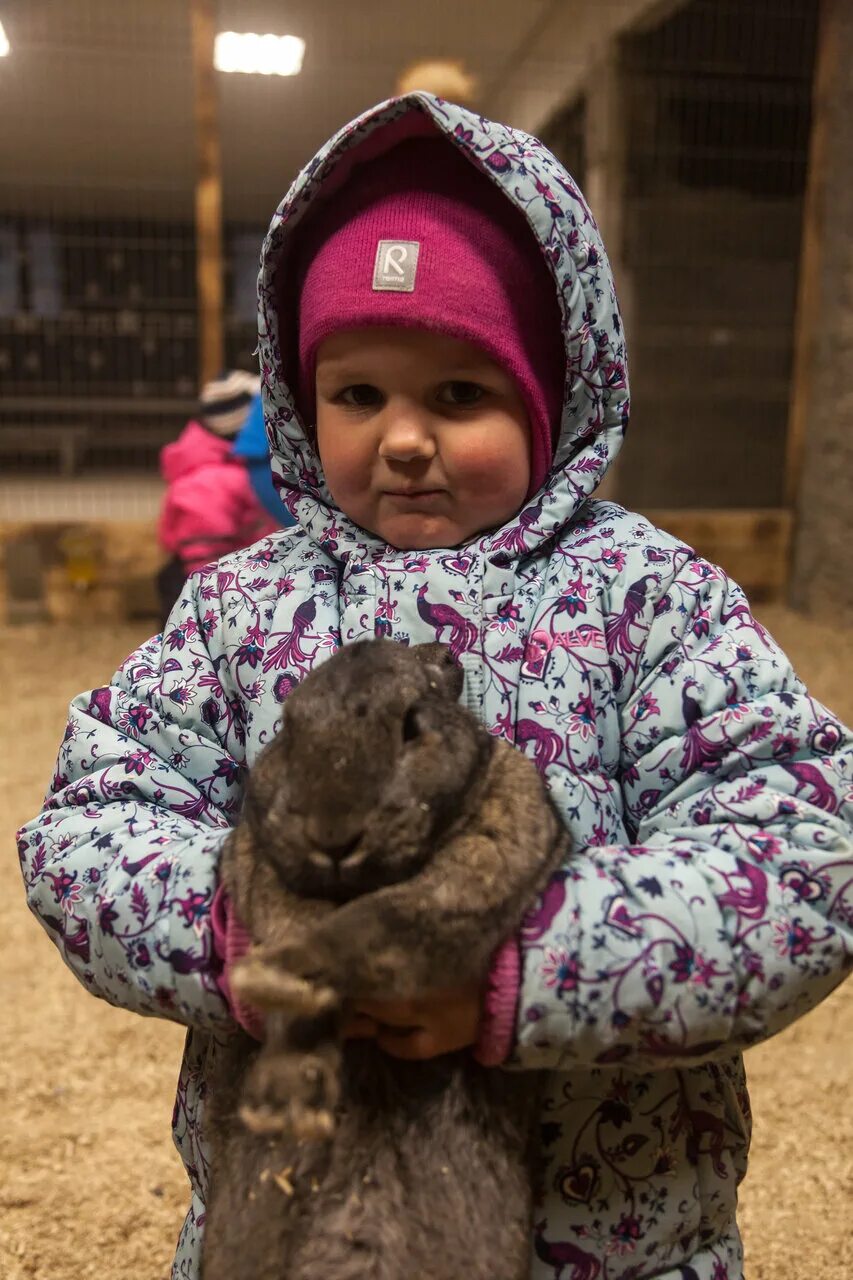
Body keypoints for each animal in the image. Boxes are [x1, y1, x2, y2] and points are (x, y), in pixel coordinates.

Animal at [202, 640, 568, 1280]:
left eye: (412, 726)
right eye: (289, 730)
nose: (333, 835)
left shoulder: (485, 859)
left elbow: (375, 925)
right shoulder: (265, 873)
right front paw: (285, 1094)